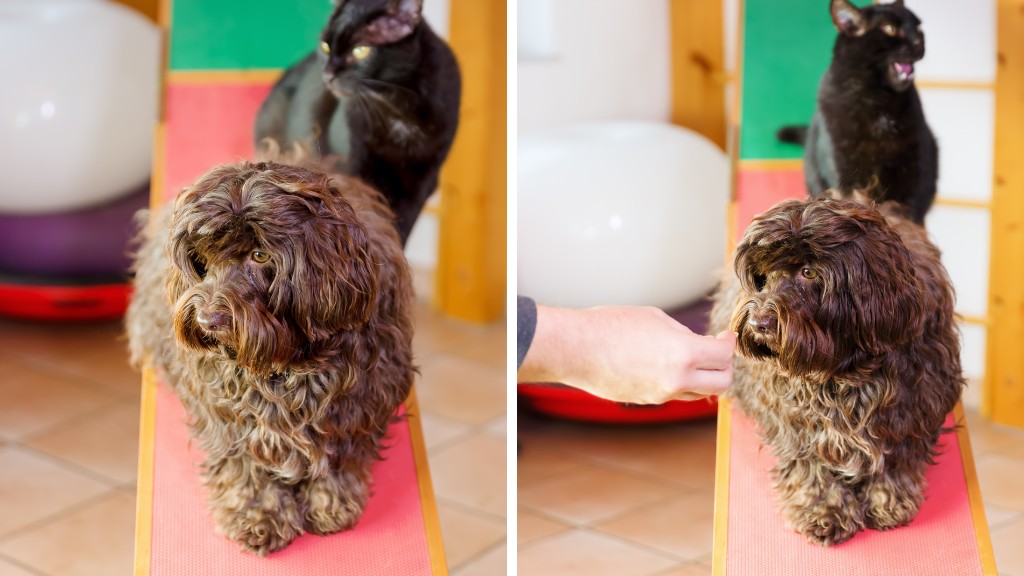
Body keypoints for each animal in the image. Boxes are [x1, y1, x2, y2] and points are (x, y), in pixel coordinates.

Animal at [125, 158, 413, 553]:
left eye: (259, 255)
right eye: (201, 259)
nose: (207, 320)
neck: (289, 359)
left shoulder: (358, 402)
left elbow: (338, 455)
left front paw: (331, 500)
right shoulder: (229, 414)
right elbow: (246, 464)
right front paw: (257, 515)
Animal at [253, 0, 462, 242]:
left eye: (361, 50)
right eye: (326, 47)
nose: (328, 74)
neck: (396, 104)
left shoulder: (422, 183)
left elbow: (400, 230)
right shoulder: (351, 164)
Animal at [712, 196, 958, 541]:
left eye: (808, 271)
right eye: (763, 276)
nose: (759, 323)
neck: (843, 368)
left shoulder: (911, 407)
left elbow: (895, 458)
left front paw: (889, 498)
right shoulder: (796, 421)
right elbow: (811, 466)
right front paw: (823, 510)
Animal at [774, 0, 937, 222]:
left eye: (918, 29)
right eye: (890, 29)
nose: (919, 43)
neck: (877, 99)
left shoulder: (914, 169)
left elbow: (906, 214)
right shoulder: (843, 170)